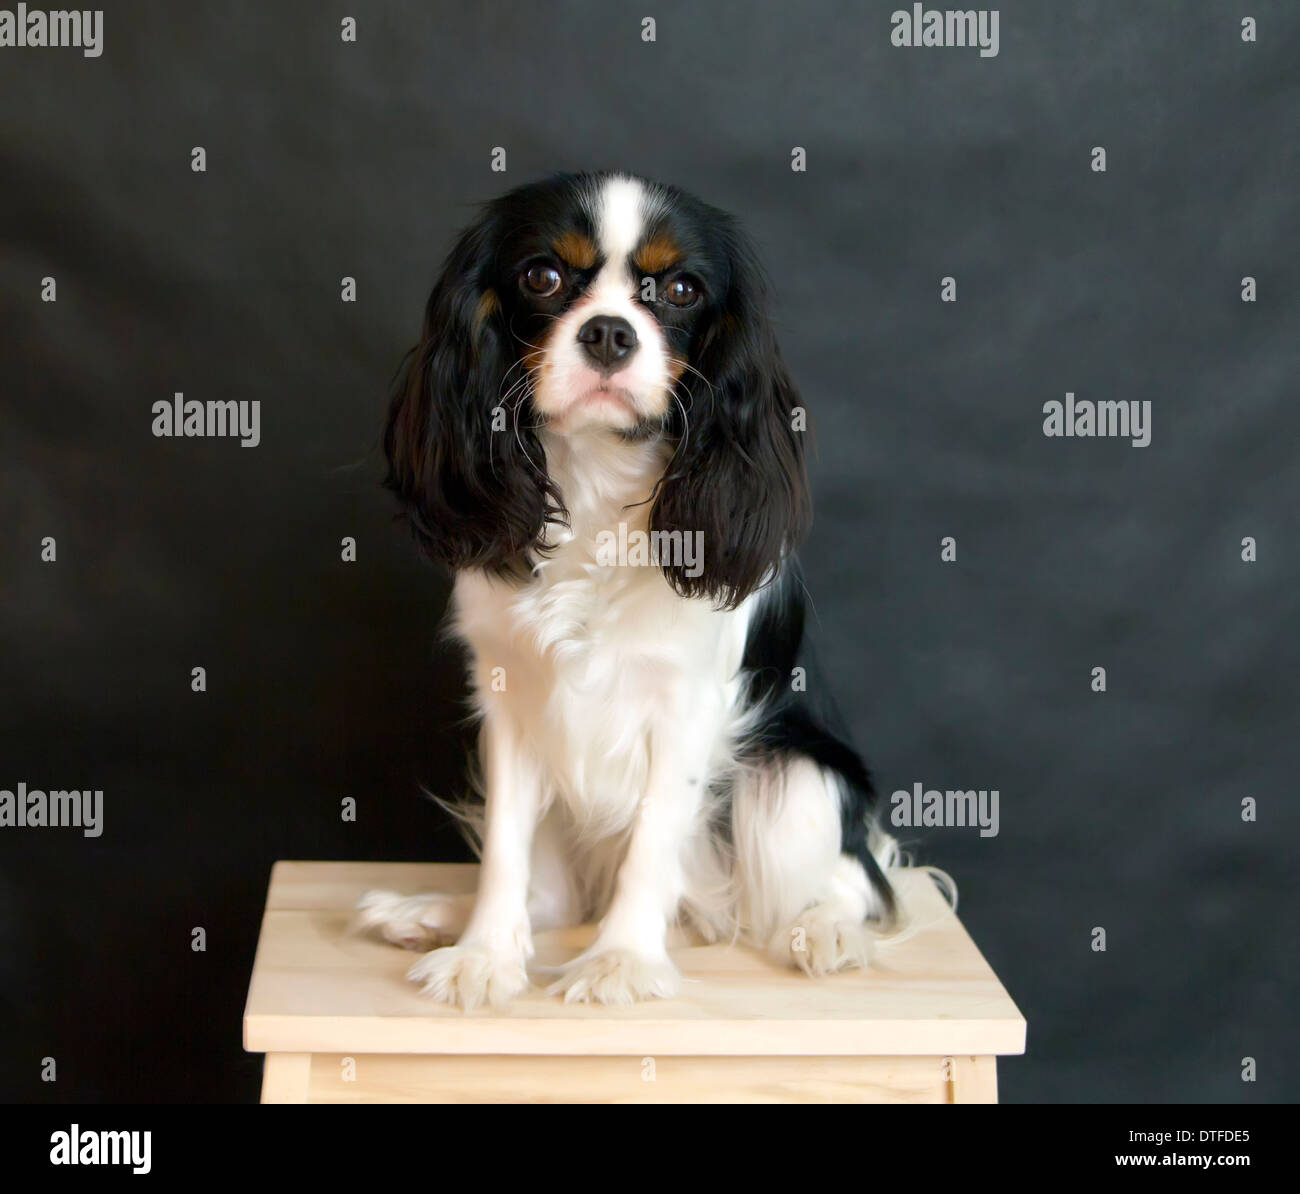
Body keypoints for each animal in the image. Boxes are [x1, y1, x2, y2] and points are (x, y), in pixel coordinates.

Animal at [361, 167, 899, 1009]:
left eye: (679, 290)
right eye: (542, 277)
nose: (610, 332)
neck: (595, 479)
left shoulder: (687, 705)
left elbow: (652, 841)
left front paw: (620, 961)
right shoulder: (512, 701)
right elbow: (506, 845)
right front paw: (484, 953)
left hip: (793, 775)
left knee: (856, 879)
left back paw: (829, 930)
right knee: (555, 894)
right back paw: (433, 914)